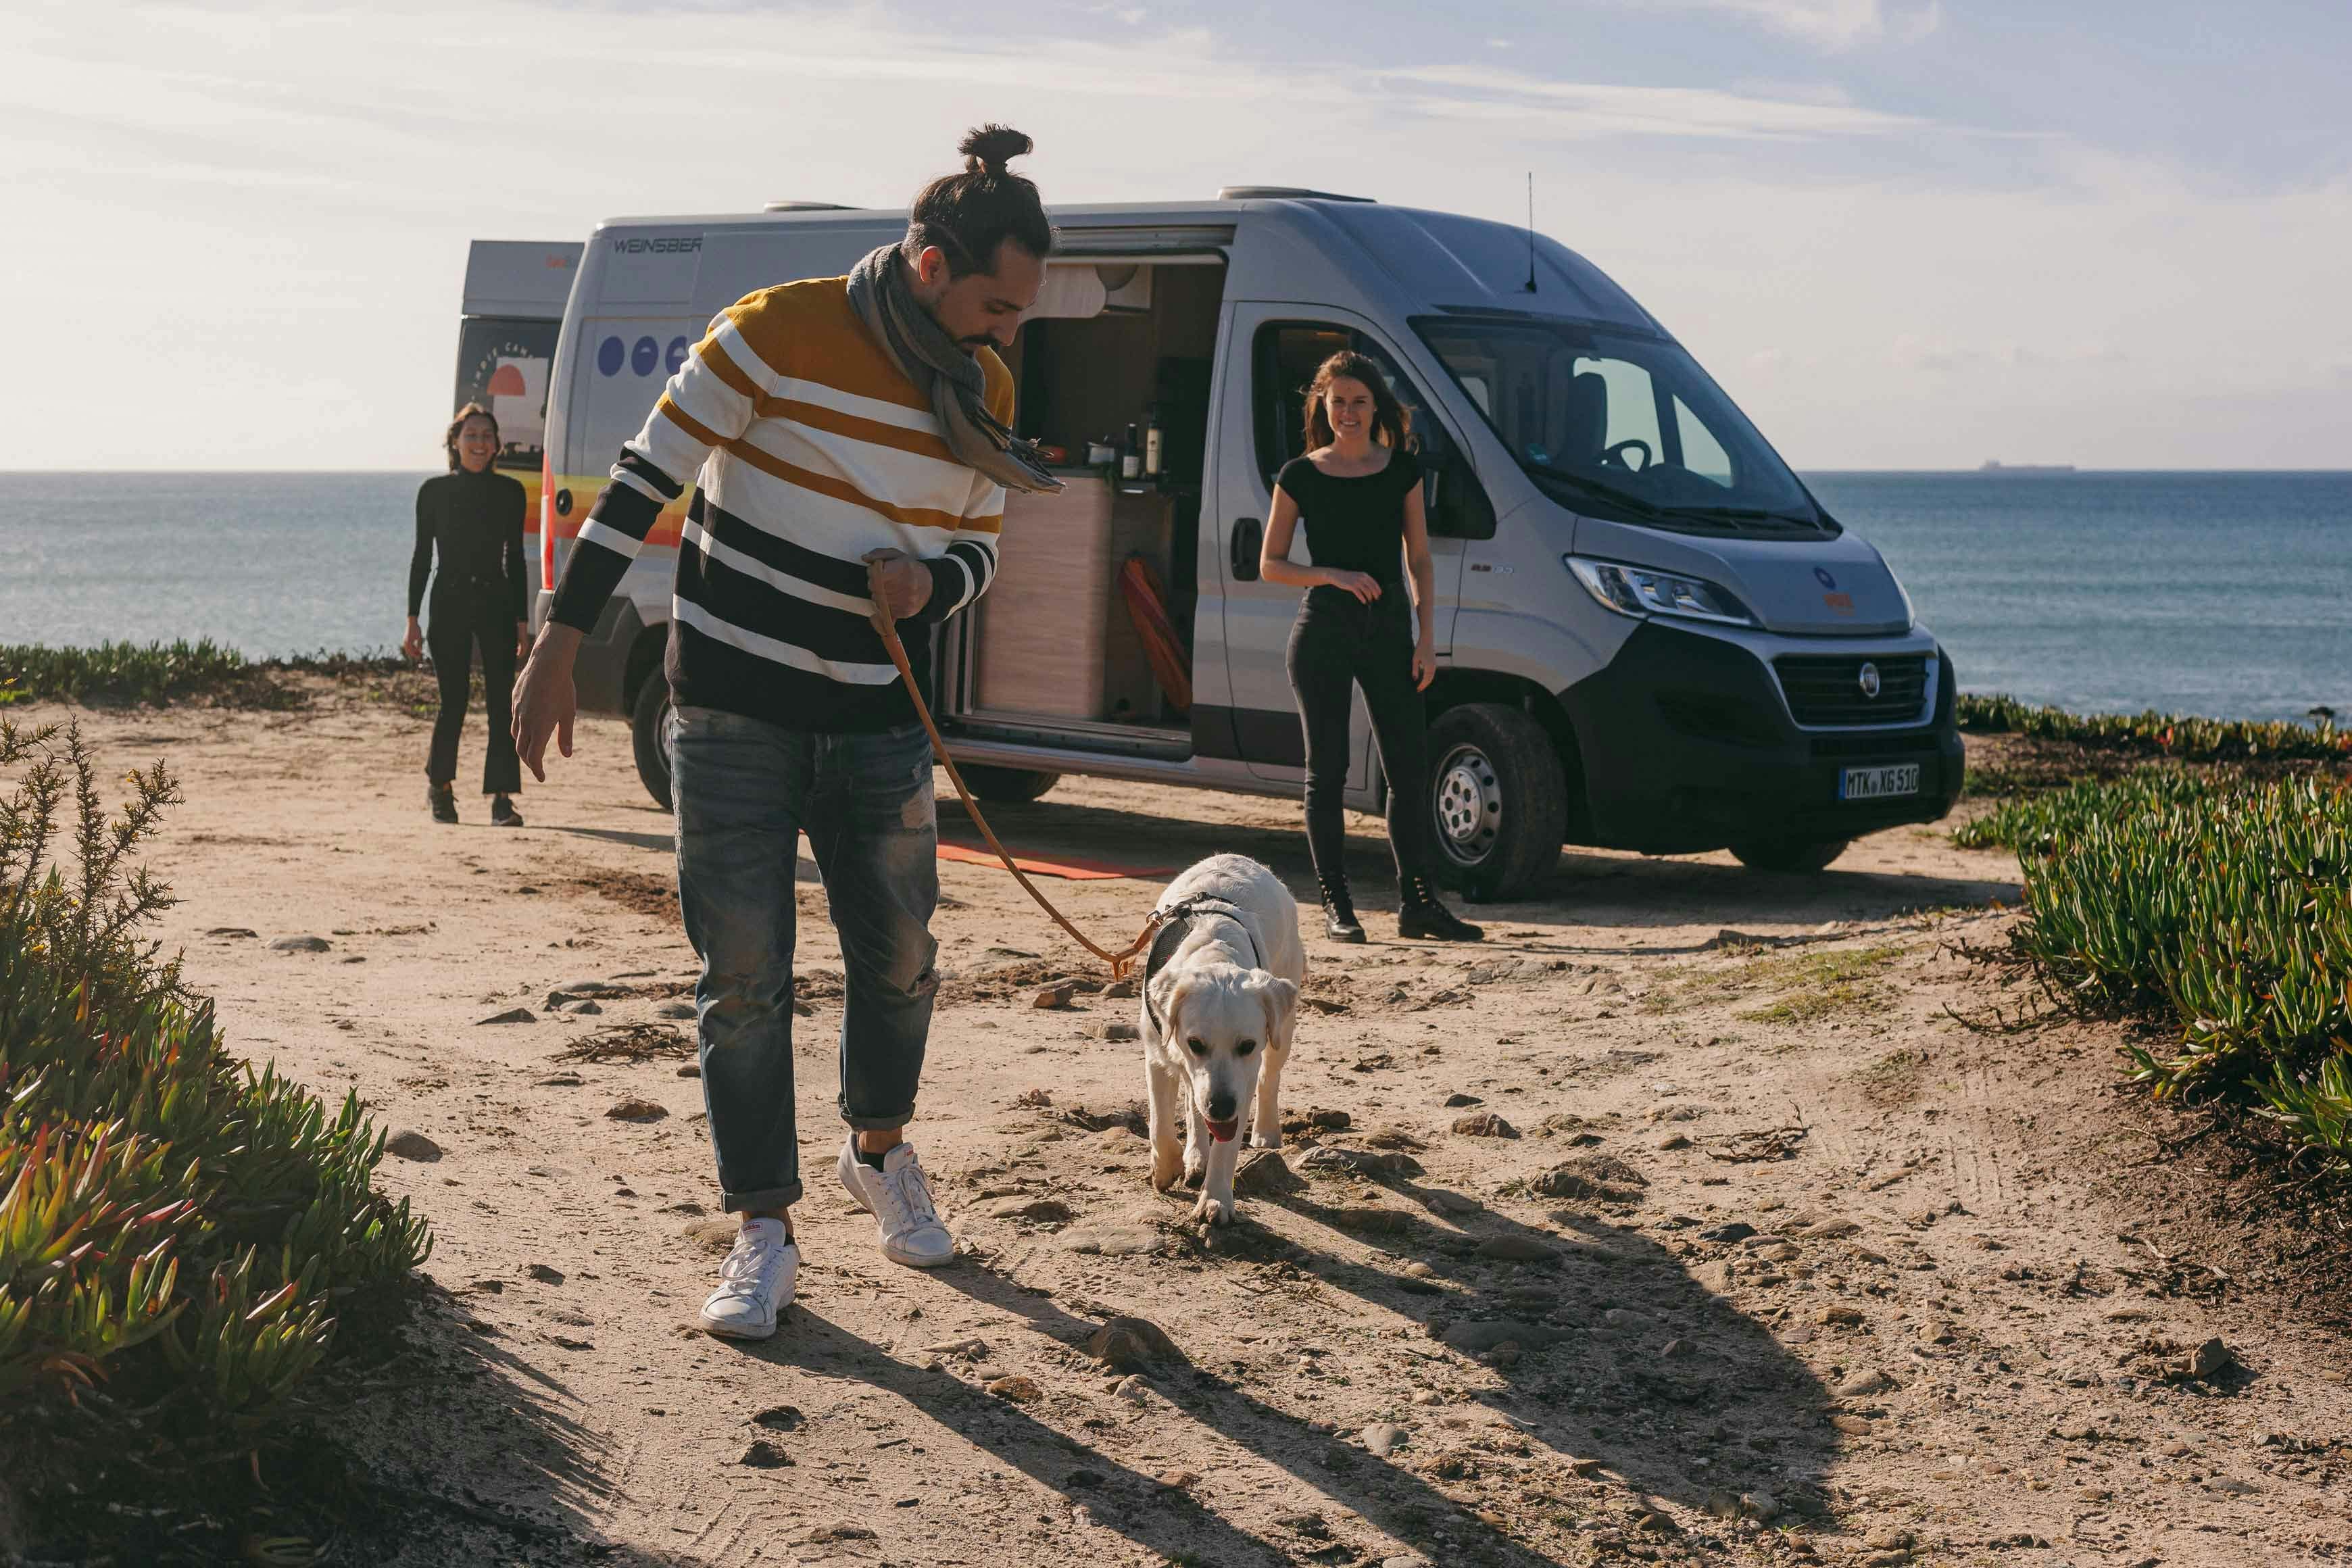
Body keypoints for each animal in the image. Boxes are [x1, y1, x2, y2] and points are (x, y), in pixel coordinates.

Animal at [1138, 860, 1307, 1222]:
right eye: (1195, 1044)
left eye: (1247, 1046)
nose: (1222, 1107)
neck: (1213, 952)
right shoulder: (1159, 1054)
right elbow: (1160, 1124)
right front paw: (1166, 1169)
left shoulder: (1244, 1075)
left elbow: (1227, 1144)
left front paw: (1215, 1201)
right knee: (1192, 1099)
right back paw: (1196, 1155)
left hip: (1284, 1023)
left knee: (1270, 1078)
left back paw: (1266, 1132)